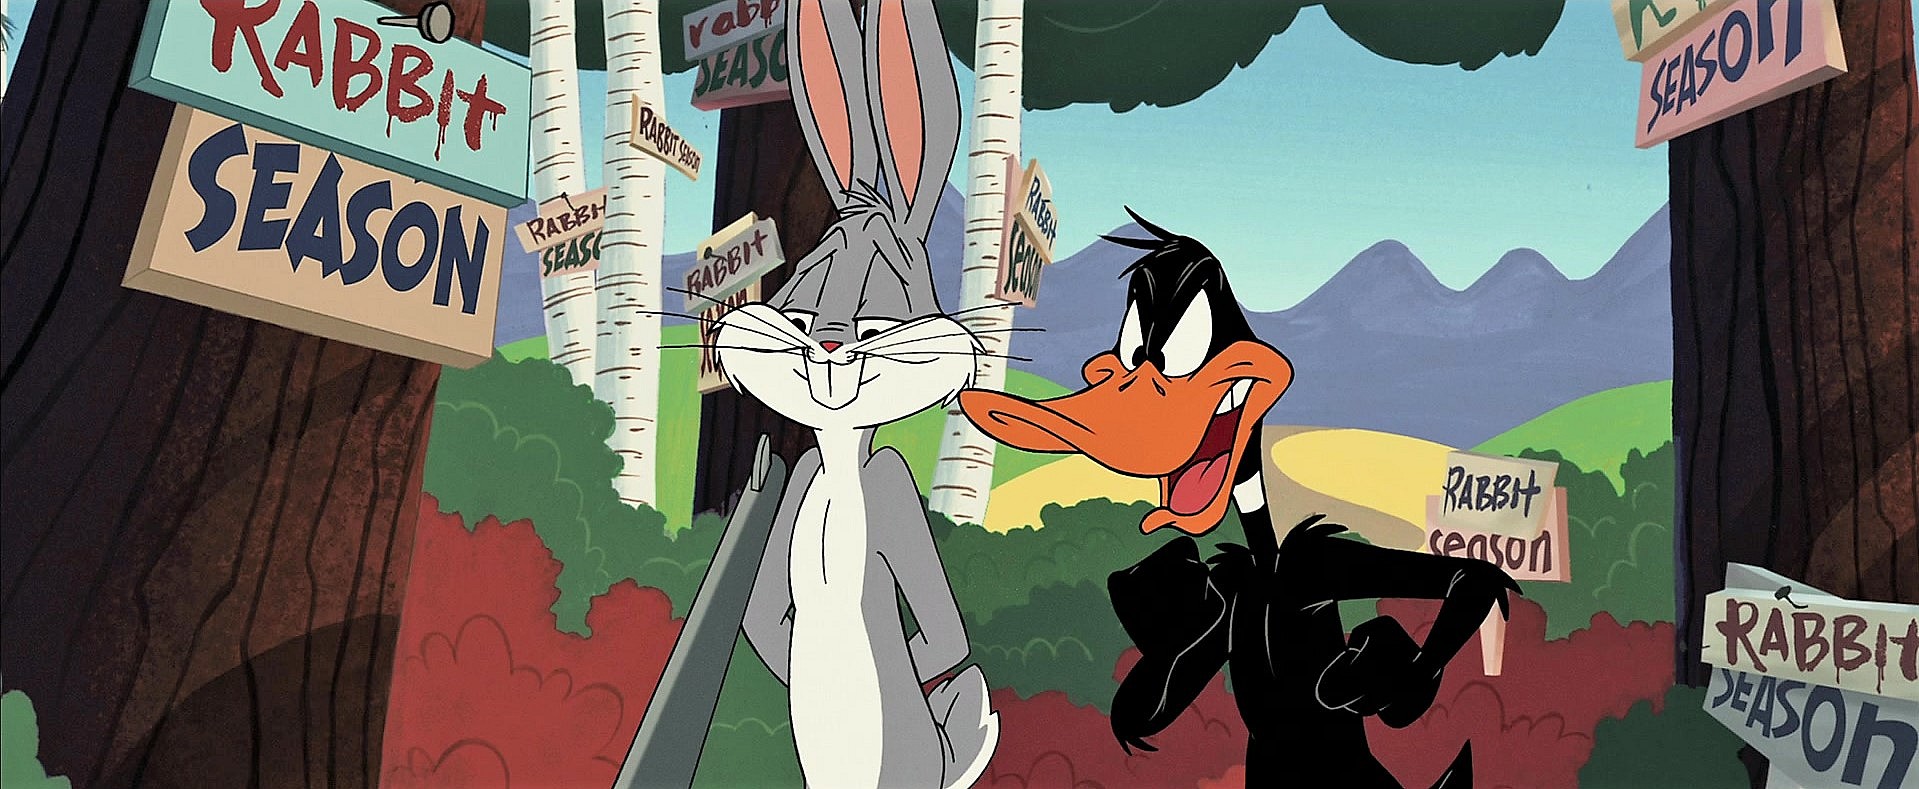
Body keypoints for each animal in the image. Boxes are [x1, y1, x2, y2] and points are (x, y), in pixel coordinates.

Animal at [712, 0, 999, 787]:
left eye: (876, 322)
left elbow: (942, 636)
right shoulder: (798, 475)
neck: (843, 464)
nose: (831, 348)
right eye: (803, 315)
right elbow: (761, 618)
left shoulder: (895, 488)